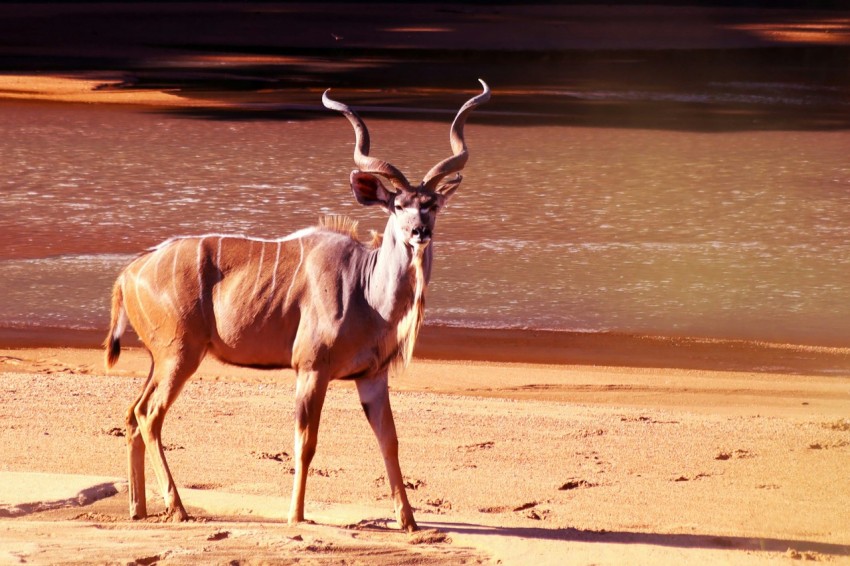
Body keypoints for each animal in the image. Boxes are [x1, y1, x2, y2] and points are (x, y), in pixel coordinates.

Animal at [104, 79, 490, 532]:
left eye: (431, 205)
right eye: (398, 205)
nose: (419, 232)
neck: (365, 289)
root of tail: (129, 274)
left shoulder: (371, 378)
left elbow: (390, 441)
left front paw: (408, 521)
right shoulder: (311, 369)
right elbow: (305, 442)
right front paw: (296, 516)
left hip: (160, 359)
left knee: (132, 414)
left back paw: (139, 508)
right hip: (180, 356)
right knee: (150, 415)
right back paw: (178, 509)